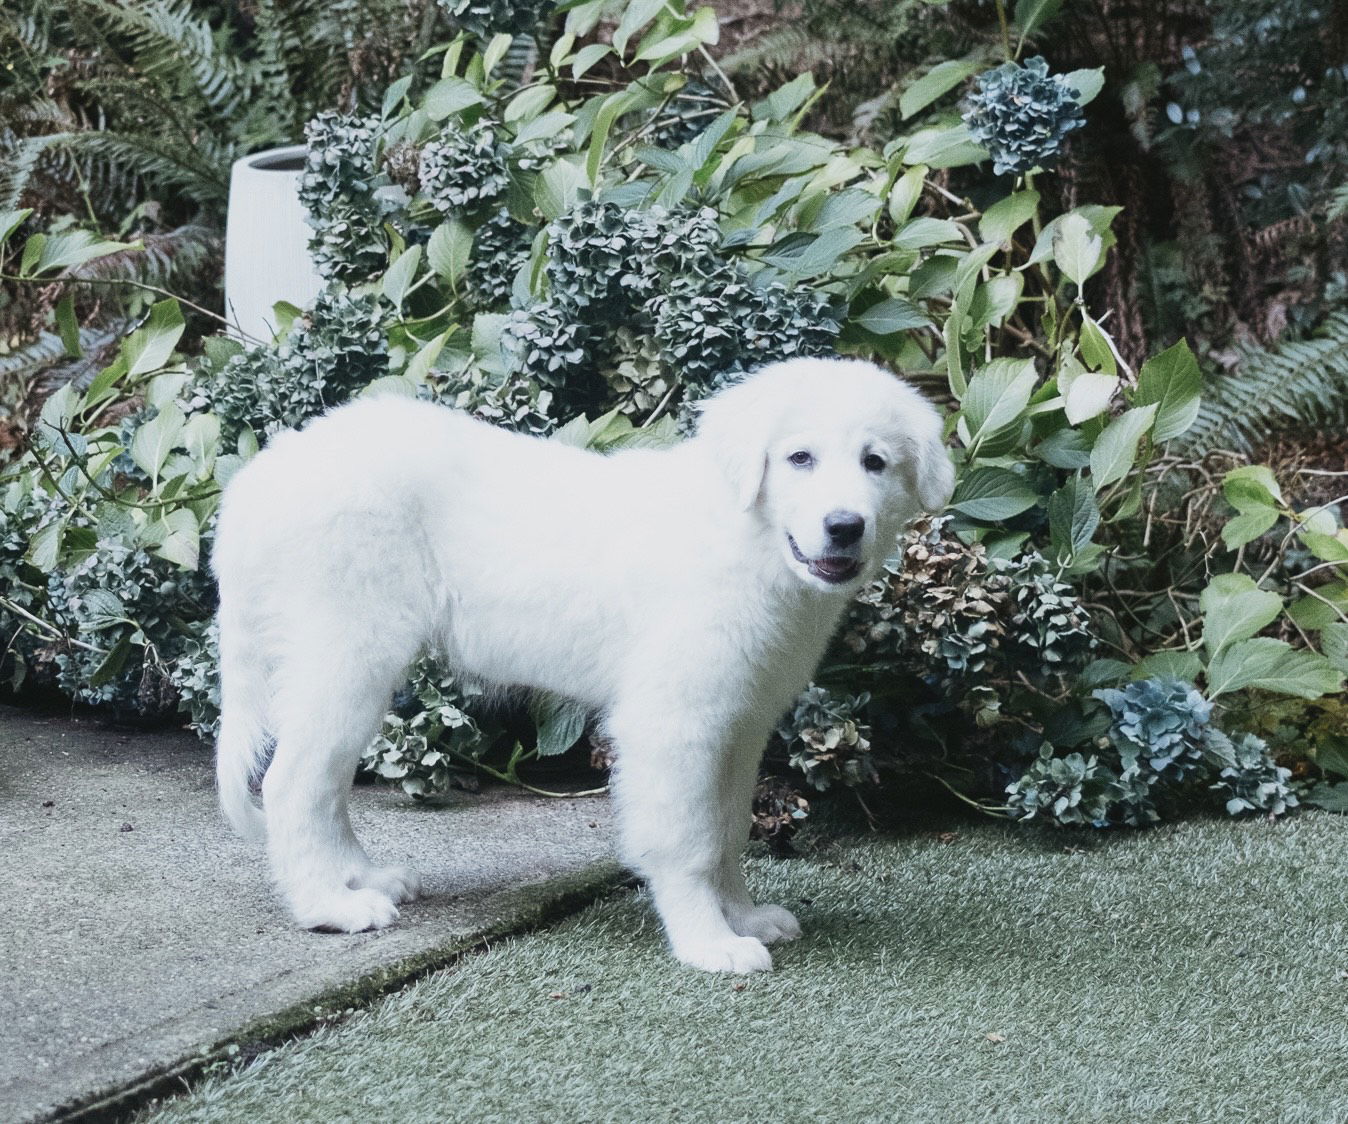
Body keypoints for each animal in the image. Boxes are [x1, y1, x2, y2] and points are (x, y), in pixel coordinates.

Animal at [212, 355, 948, 970]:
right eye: (800, 458)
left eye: (875, 462)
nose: (844, 526)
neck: (748, 538)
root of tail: (260, 478)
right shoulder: (673, 722)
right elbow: (688, 841)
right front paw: (708, 942)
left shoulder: (741, 722)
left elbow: (729, 829)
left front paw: (742, 917)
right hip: (347, 652)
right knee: (291, 783)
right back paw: (327, 906)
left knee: (326, 784)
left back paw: (361, 878)